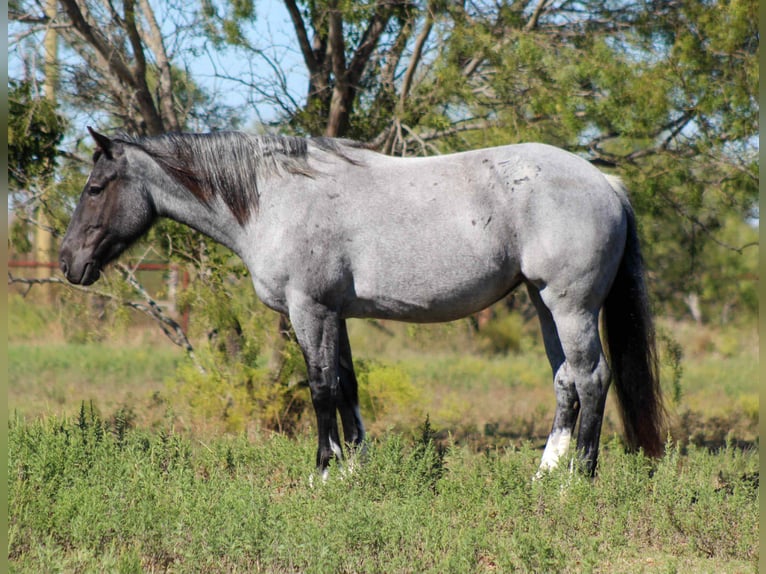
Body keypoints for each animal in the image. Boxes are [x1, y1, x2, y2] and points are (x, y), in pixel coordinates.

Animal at [60, 127, 665, 478]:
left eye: (95, 188)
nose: (68, 262)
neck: (275, 198)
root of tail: (606, 183)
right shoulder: (336, 314)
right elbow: (346, 385)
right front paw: (356, 469)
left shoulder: (310, 310)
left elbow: (320, 387)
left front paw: (324, 471)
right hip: (543, 304)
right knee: (566, 382)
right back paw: (544, 475)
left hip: (571, 307)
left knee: (592, 378)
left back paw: (577, 481)